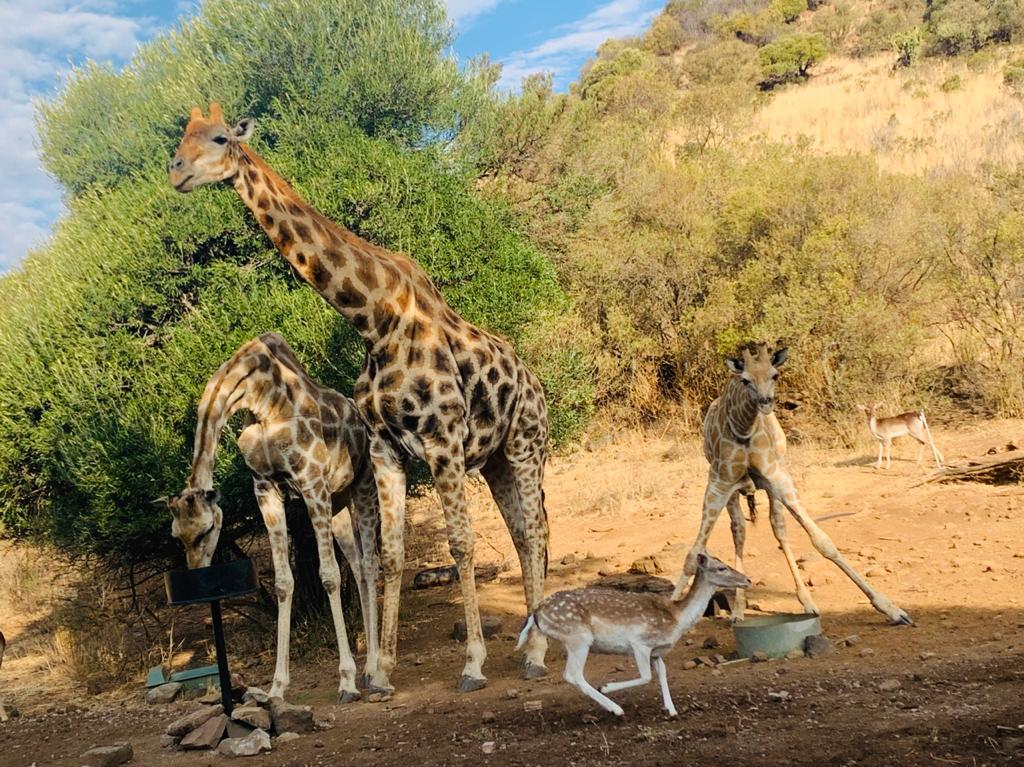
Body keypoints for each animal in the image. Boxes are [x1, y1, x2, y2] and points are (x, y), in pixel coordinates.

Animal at [155, 332, 380, 703]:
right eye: (176, 535)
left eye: (206, 530)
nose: (196, 574)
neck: (261, 399)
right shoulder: (265, 488)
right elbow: (283, 582)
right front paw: (277, 688)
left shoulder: (311, 481)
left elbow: (329, 576)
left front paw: (346, 681)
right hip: (337, 503)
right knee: (359, 564)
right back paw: (368, 667)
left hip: (362, 487)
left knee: (371, 563)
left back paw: (373, 669)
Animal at [674, 342, 912, 626]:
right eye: (745, 380)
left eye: (775, 375)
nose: (765, 403)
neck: (744, 428)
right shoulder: (719, 484)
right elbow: (692, 554)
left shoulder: (778, 478)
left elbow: (822, 541)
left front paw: (892, 609)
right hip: (733, 492)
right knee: (739, 531)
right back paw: (739, 609)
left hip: (773, 485)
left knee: (779, 529)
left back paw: (806, 601)